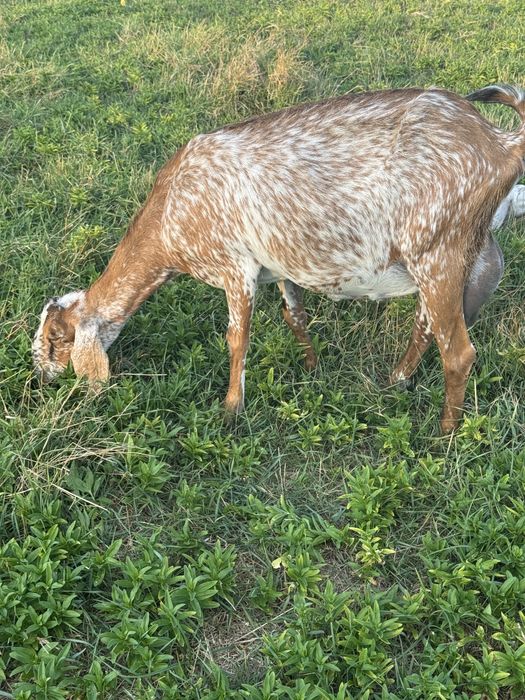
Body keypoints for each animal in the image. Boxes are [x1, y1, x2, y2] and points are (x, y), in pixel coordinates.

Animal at [33, 85, 525, 433]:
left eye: (57, 338)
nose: (41, 377)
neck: (172, 212)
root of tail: (501, 141)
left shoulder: (235, 267)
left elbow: (237, 339)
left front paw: (231, 411)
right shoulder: (282, 264)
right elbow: (295, 316)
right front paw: (311, 367)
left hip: (437, 252)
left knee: (458, 352)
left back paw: (445, 433)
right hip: (458, 255)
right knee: (428, 325)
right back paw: (397, 379)